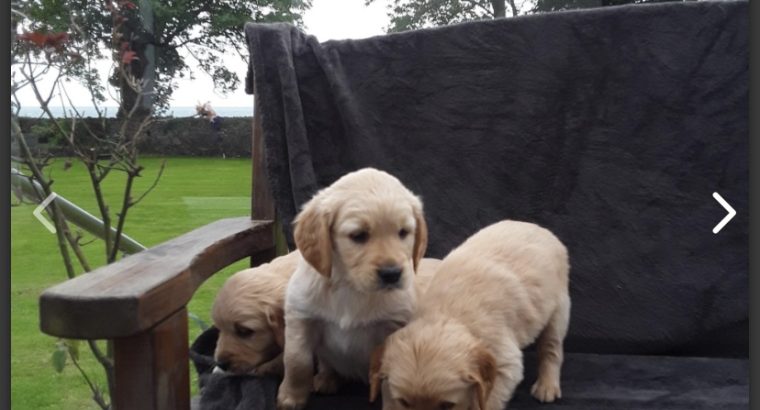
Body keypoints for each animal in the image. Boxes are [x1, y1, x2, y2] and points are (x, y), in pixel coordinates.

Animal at [276, 167, 430, 410]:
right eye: (358, 235)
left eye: (403, 232)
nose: (392, 274)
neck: (350, 287)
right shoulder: (300, 315)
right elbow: (297, 361)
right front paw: (291, 398)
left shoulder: (394, 326)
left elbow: (390, 377)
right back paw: (326, 379)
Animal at [368, 221, 568, 410]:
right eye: (404, 402)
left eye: (447, 405)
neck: (446, 313)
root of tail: (539, 228)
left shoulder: (505, 362)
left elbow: (488, 401)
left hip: (559, 309)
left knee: (551, 348)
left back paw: (547, 386)